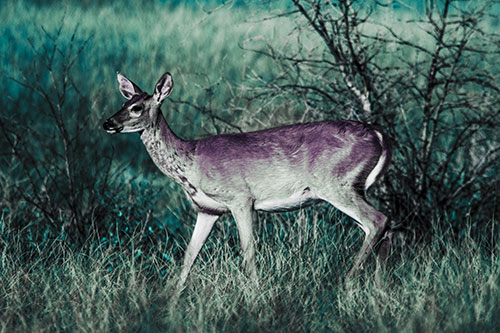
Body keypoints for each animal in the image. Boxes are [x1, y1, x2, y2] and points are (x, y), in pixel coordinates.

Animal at [103, 70, 392, 288]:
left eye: (137, 107)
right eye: (122, 103)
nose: (108, 123)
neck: (190, 163)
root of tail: (379, 136)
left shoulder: (241, 198)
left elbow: (248, 252)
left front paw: (254, 295)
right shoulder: (207, 210)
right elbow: (189, 256)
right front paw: (171, 302)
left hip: (337, 184)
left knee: (378, 220)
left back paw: (347, 282)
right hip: (352, 188)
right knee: (382, 227)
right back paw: (379, 289)